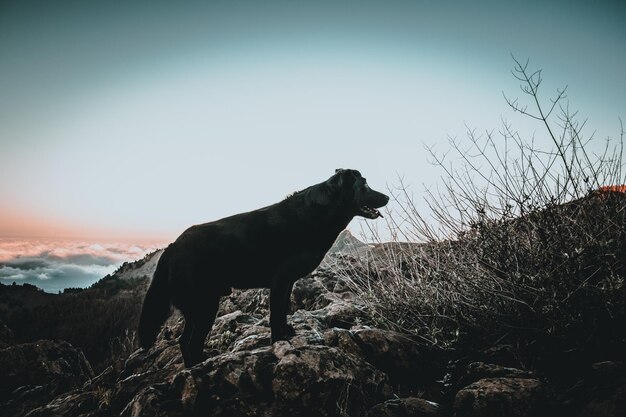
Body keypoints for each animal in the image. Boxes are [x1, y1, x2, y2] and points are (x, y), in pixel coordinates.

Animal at [139, 167, 388, 366]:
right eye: (365, 184)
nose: (386, 197)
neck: (317, 213)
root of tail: (172, 247)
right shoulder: (280, 281)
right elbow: (276, 315)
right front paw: (279, 341)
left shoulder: (287, 283)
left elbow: (283, 311)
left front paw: (286, 332)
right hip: (205, 305)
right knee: (191, 343)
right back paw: (201, 367)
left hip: (197, 307)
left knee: (183, 341)